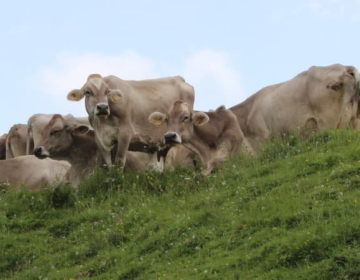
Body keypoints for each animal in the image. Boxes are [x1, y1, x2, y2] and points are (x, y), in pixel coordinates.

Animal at [67, 74, 197, 170]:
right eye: (87, 92)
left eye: (107, 91)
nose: (103, 107)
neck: (103, 124)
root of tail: (179, 78)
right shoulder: (101, 139)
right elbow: (109, 164)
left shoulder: (125, 132)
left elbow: (119, 162)